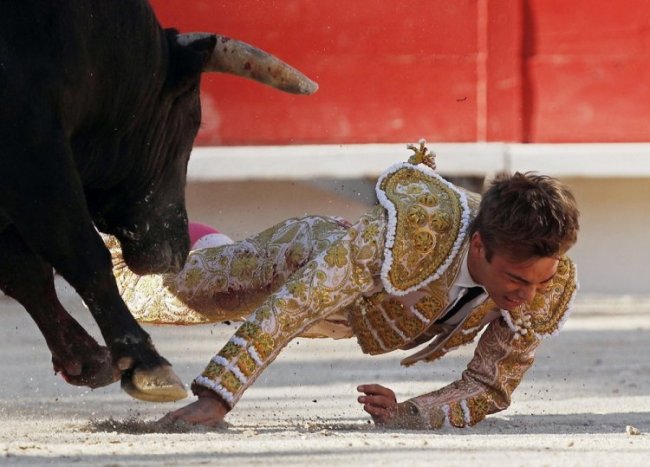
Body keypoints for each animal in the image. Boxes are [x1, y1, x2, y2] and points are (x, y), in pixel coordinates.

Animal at [0, 0, 316, 402]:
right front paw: (145, 363)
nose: (178, 251)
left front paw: (88, 360)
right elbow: (82, 254)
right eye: (192, 120)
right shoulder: (33, 151)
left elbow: (25, 271)